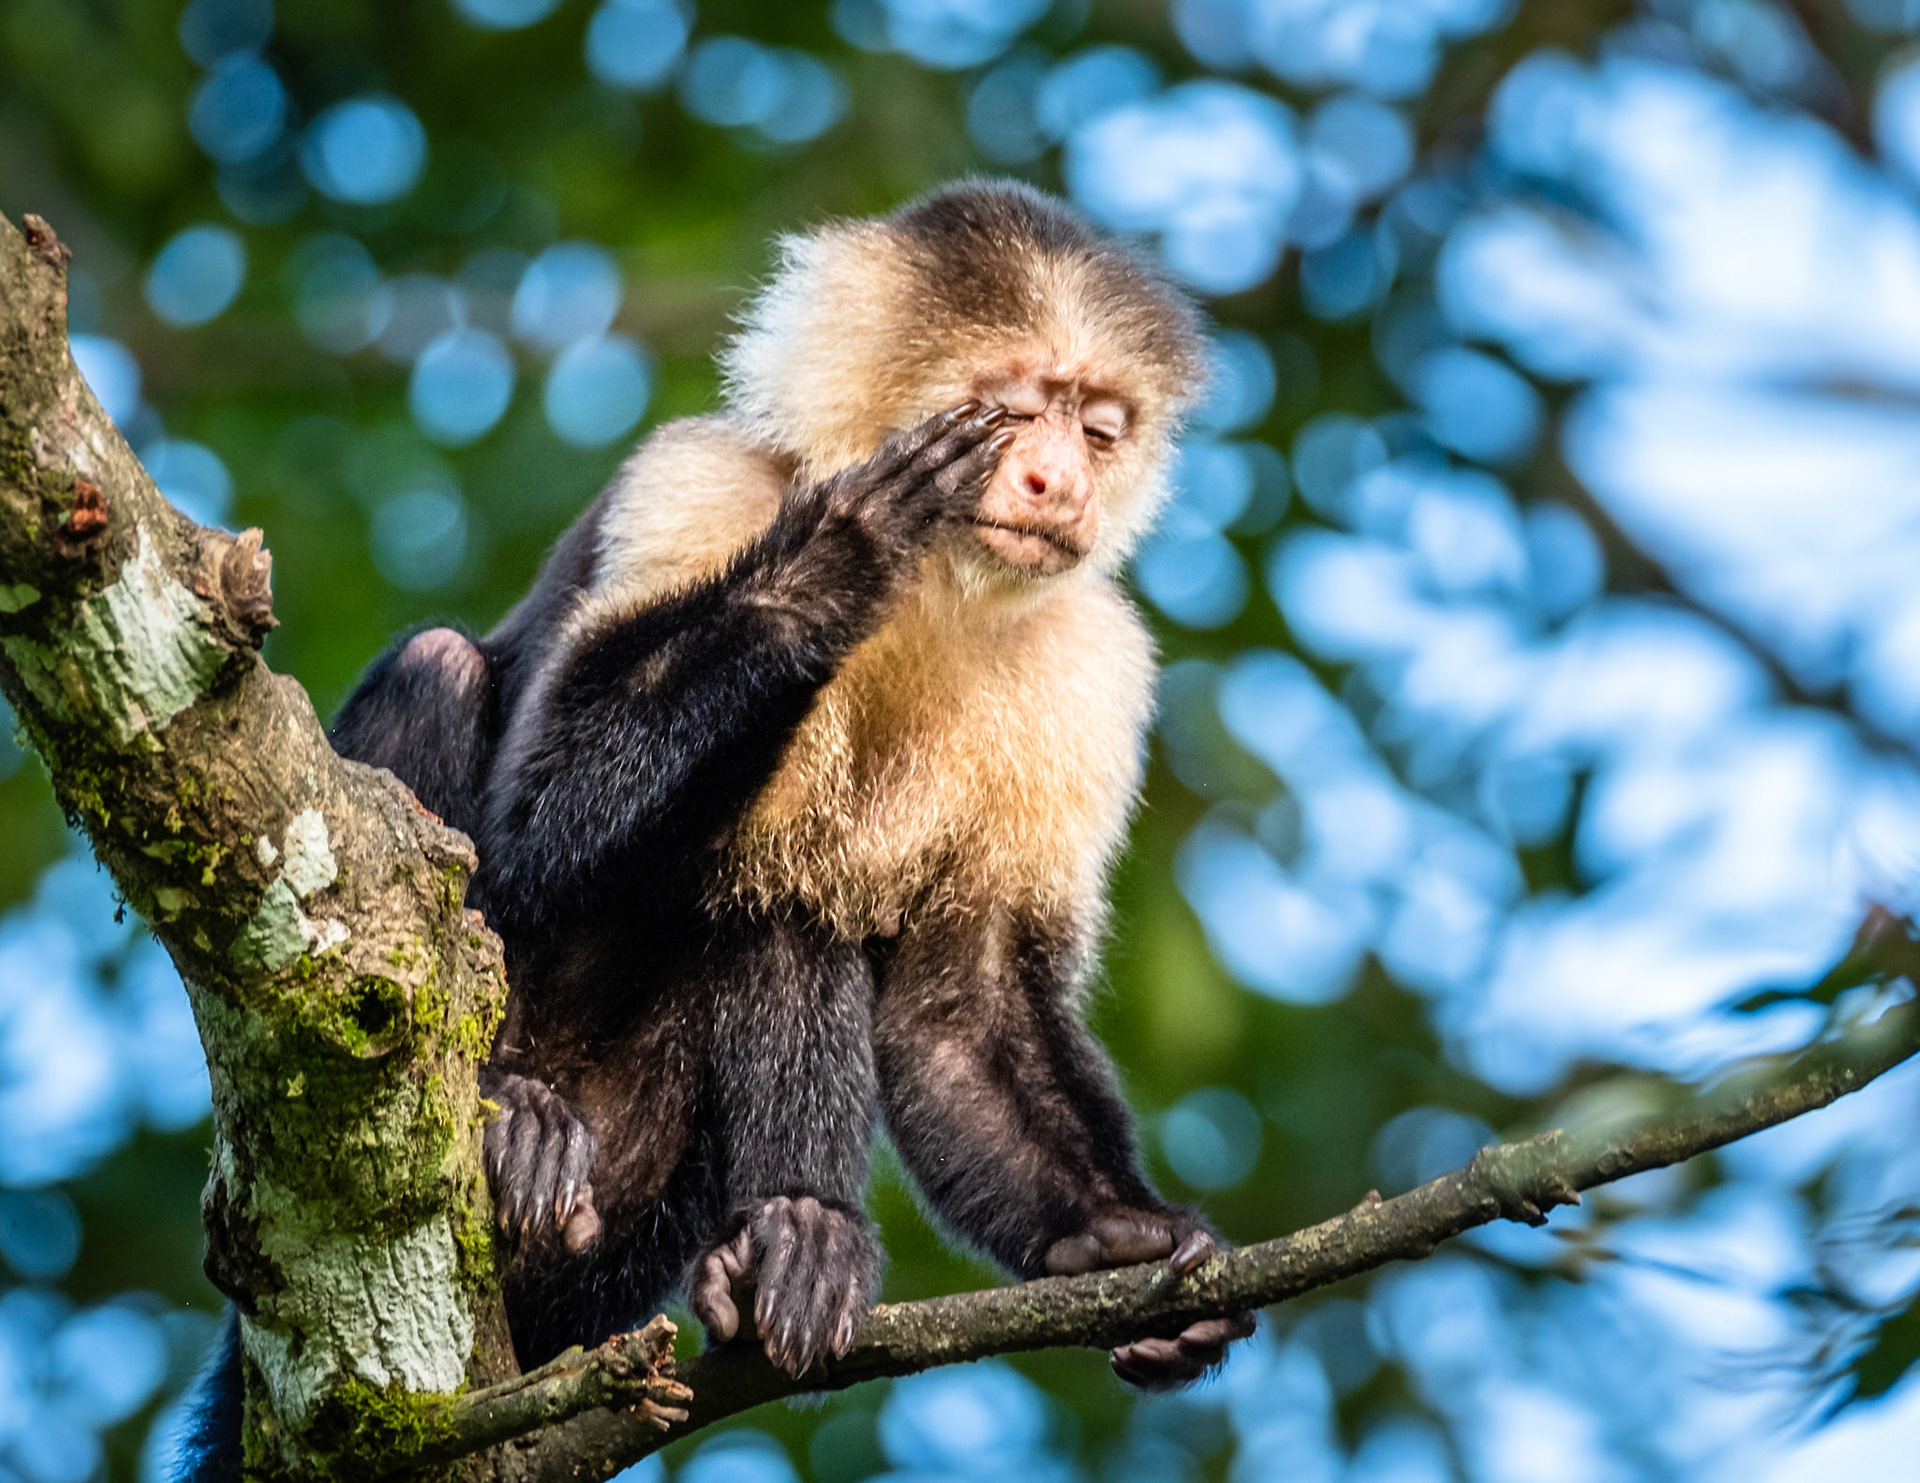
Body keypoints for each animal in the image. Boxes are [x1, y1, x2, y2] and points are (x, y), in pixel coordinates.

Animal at [179, 179, 1250, 1482]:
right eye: (1008, 412)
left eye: (1098, 431)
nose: (1060, 482)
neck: (941, 589)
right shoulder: (694, 487)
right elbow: (539, 820)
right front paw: (835, 559)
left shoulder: (1093, 664)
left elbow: (961, 1002)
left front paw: (1113, 1237)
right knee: (450, 691)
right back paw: (503, 1116)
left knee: (786, 897)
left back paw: (789, 1242)